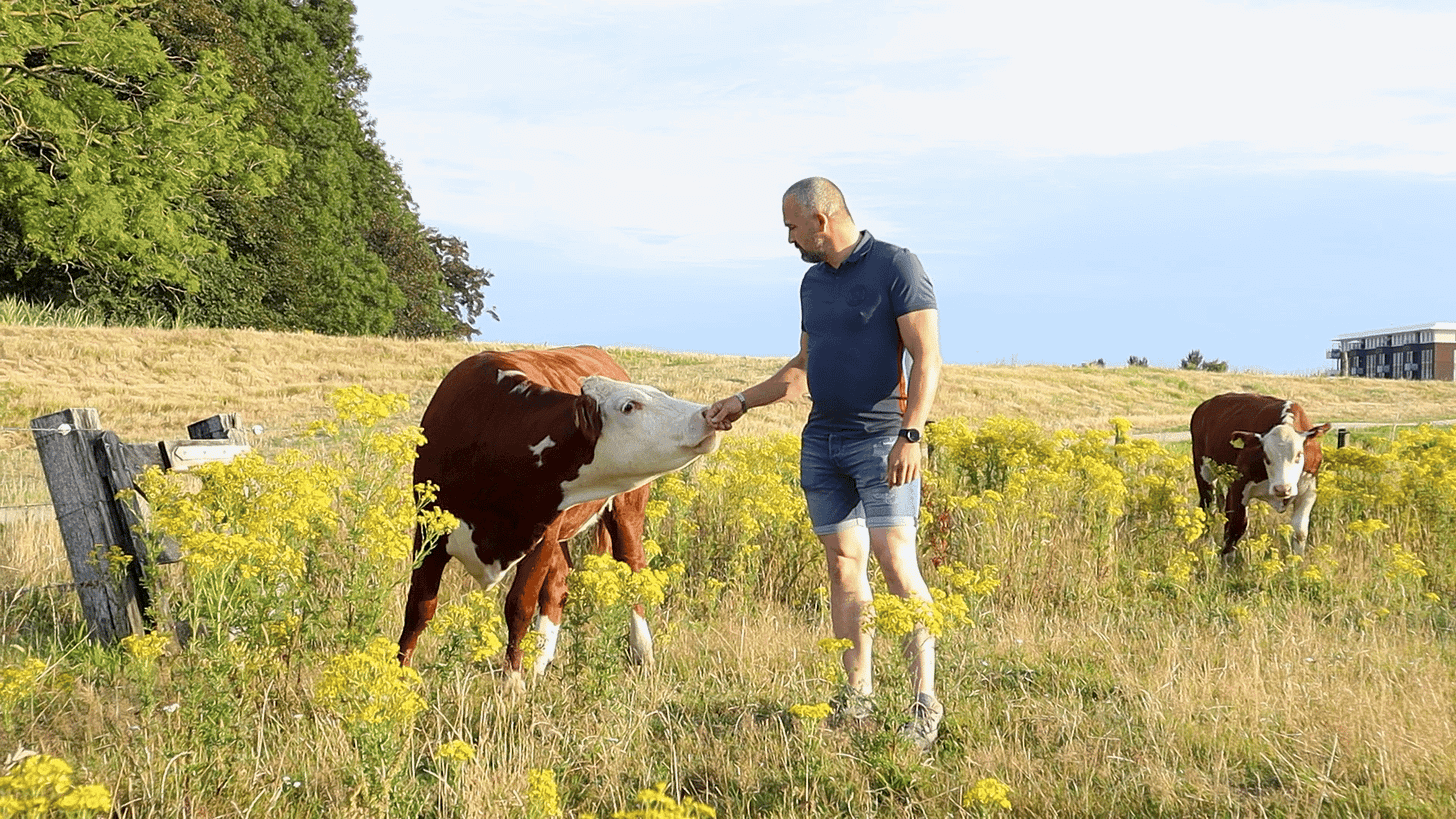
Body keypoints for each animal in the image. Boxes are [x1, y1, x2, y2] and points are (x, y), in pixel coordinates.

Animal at [396, 343, 719, 682]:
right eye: (629, 406)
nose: (706, 414)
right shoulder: (428, 531)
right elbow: (420, 606)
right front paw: (400, 672)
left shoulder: (543, 534)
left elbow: (519, 606)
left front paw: (512, 682)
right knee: (559, 584)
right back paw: (539, 661)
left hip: (626, 511)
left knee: (633, 566)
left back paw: (642, 651)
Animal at [1182, 390, 1333, 556]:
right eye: (1266, 456)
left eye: (1299, 455)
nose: (1282, 489)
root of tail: (1206, 405)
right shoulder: (1238, 486)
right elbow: (1235, 527)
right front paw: (1226, 561)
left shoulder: (1308, 492)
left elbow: (1300, 532)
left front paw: (1297, 560)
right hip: (1204, 471)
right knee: (1208, 507)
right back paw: (1208, 544)